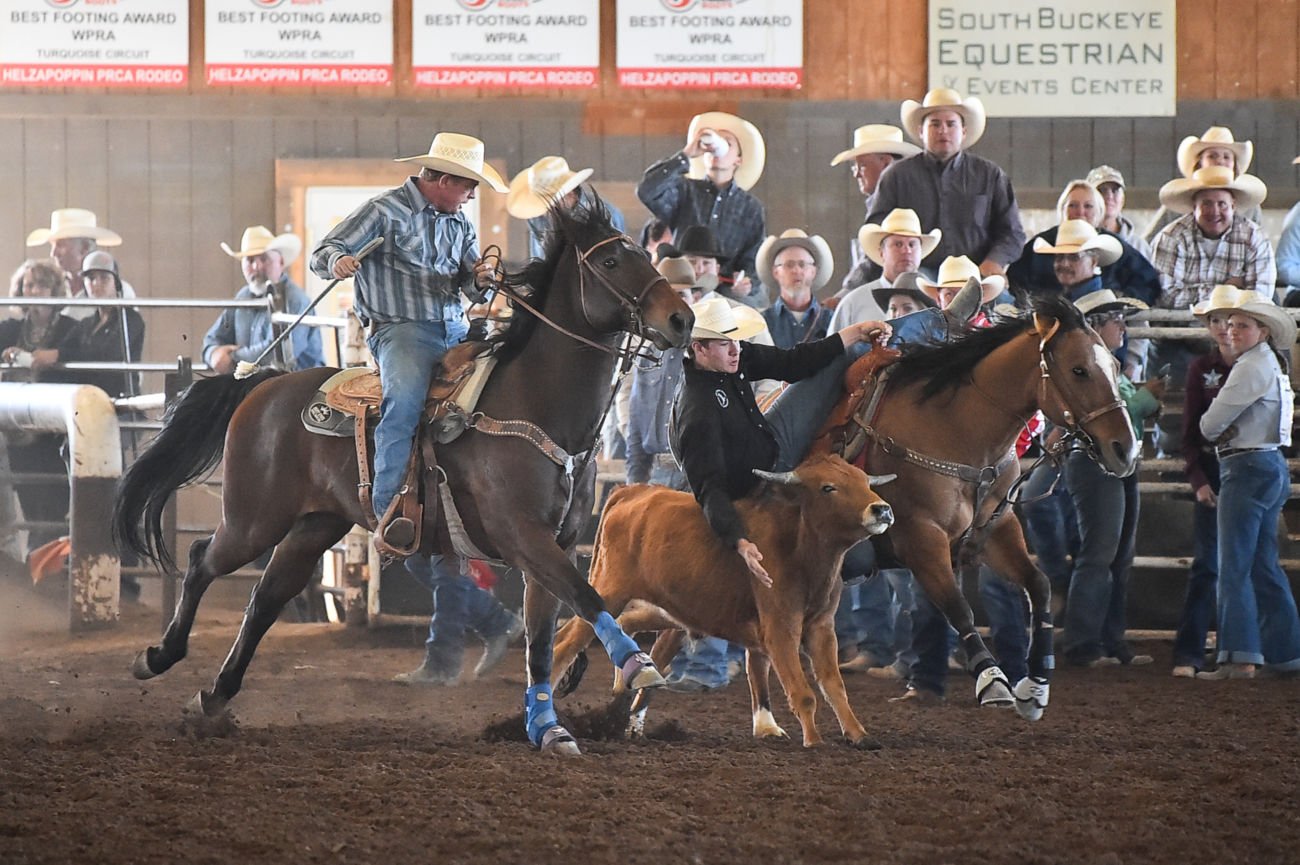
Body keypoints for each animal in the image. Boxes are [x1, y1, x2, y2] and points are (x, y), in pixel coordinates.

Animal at [116, 199, 696, 754]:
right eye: (611, 261)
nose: (682, 320)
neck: (535, 405)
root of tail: (263, 383)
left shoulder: (555, 544)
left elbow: (541, 640)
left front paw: (548, 729)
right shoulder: (523, 537)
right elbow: (587, 597)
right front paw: (636, 665)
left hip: (314, 525)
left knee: (265, 598)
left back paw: (214, 696)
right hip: (253, 519)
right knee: (201, 561)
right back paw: (156, 658)